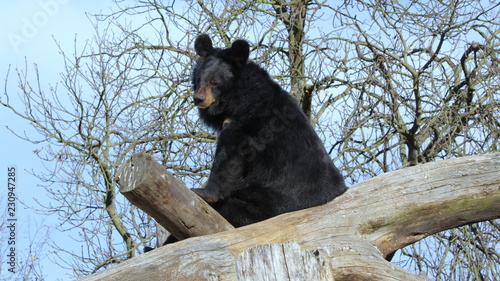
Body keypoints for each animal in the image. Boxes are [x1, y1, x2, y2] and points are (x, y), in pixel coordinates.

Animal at [189, 34, 346, 228]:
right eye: (199, 79)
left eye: (215, 82)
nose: (199, 98)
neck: (237, 99)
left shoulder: (252, 123)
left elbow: (230, 156)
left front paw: (203, 192)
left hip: (264, 201)